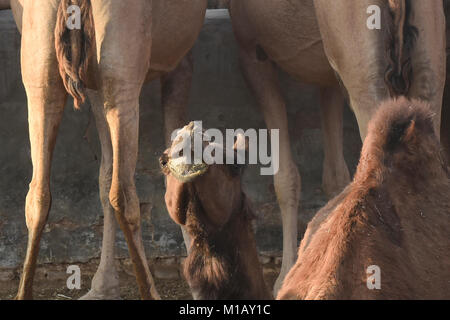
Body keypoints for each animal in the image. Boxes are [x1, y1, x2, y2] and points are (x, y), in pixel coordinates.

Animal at [11, 0, 207, 300]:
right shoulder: (179, 63)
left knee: (38, 194)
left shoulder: (92, 86)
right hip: (122, 82)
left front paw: (103, 286)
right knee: (124, 194)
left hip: (41, 76)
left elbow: (104, 175)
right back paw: (150, 292)